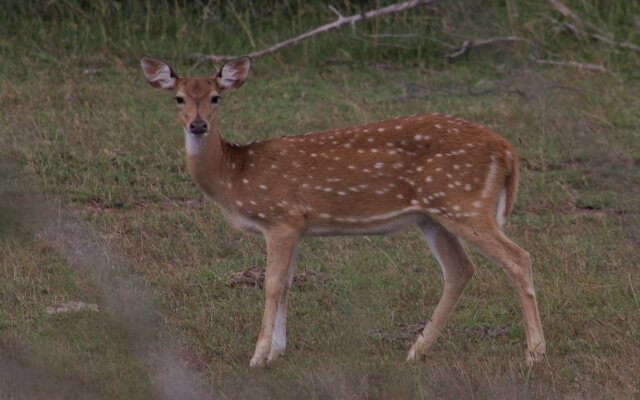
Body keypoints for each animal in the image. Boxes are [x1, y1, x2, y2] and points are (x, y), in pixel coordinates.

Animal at [140, 55, 544, 366]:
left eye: (215, 97)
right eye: (178, 98)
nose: (198, 125)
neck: (236, 176)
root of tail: (505, 149)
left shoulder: (280, 217)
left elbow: (271, 283)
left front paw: (257, 356)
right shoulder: (296, 226)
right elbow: (287, 283)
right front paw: (277, 353)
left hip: (463, 203)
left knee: (518, 258)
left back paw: (534, 355)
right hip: (433, 216)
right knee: (460, 270)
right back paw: (415, 351)